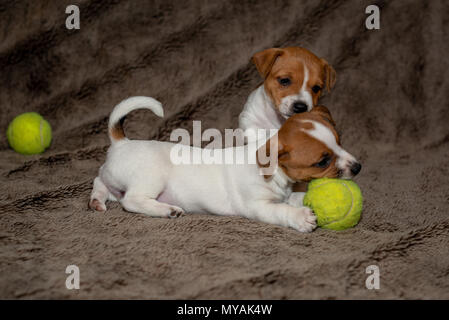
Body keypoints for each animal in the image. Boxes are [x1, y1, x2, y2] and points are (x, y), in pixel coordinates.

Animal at [88, 95, 360, 232]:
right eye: (322, 161)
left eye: (340, 141)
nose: (358, 167)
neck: (273, 174)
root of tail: (121, 142)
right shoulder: (258, 207)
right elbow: (281, 211)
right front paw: (301, 217)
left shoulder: (284, 194)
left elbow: (294, 198)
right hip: (150, 178)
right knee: (130, 201)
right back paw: (166, 210)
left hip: (113, 178)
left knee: (100, 181)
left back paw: (97, 201)